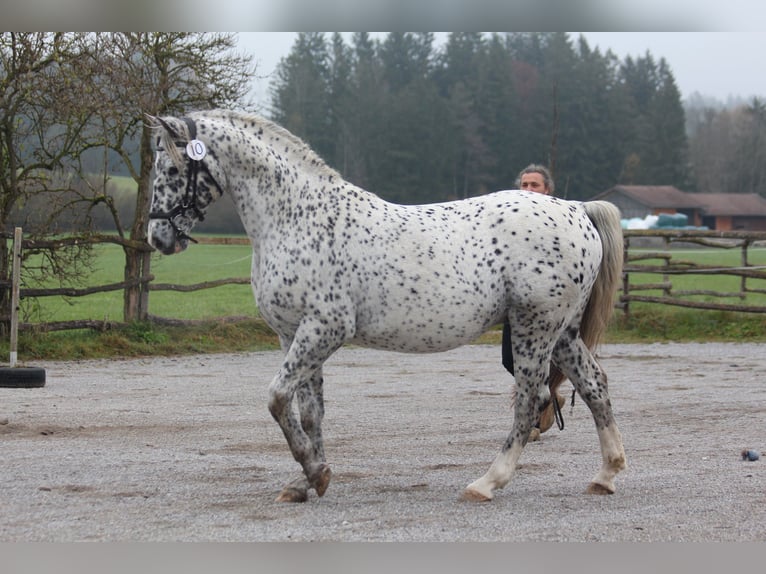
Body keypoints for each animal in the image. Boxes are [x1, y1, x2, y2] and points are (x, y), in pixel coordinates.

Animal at [147, 109, 628, 504]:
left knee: (531, 398)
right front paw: (307, 480)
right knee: (594, 385)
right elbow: (310, 411)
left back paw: (487, 482)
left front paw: (314, 471)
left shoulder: (324, 329)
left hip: (534, 327)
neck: (297, 217)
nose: (158, 237)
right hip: (562, 332)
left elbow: (278, 399)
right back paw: (606, 475)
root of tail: (575, 209)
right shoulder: (293, 335)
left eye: (170, 167)